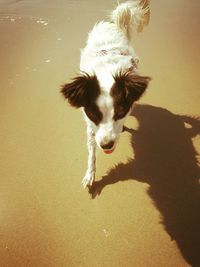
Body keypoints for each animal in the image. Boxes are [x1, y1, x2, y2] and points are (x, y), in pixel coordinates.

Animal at [60, 0, 150, 188]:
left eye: (121, 111)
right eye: (93, 114)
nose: (107, 145)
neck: (106, 71)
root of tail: (112, 24)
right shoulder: (91, 128)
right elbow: (91, 153)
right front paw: (90, 174)